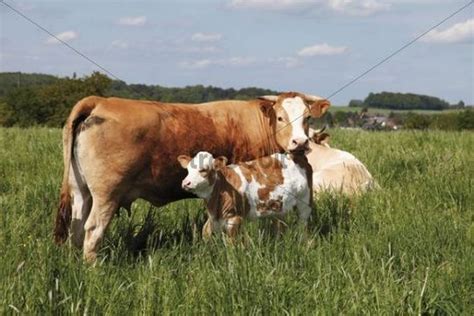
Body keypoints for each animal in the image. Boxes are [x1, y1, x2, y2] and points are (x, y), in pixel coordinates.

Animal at [176, 151, 312, 237]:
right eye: (188, 170)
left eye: (203, 170)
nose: (185, 183)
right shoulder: (213, 219)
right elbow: (205, 232)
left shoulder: (234, 219)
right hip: (279, 208)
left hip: (305, 202)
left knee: (303, 226)